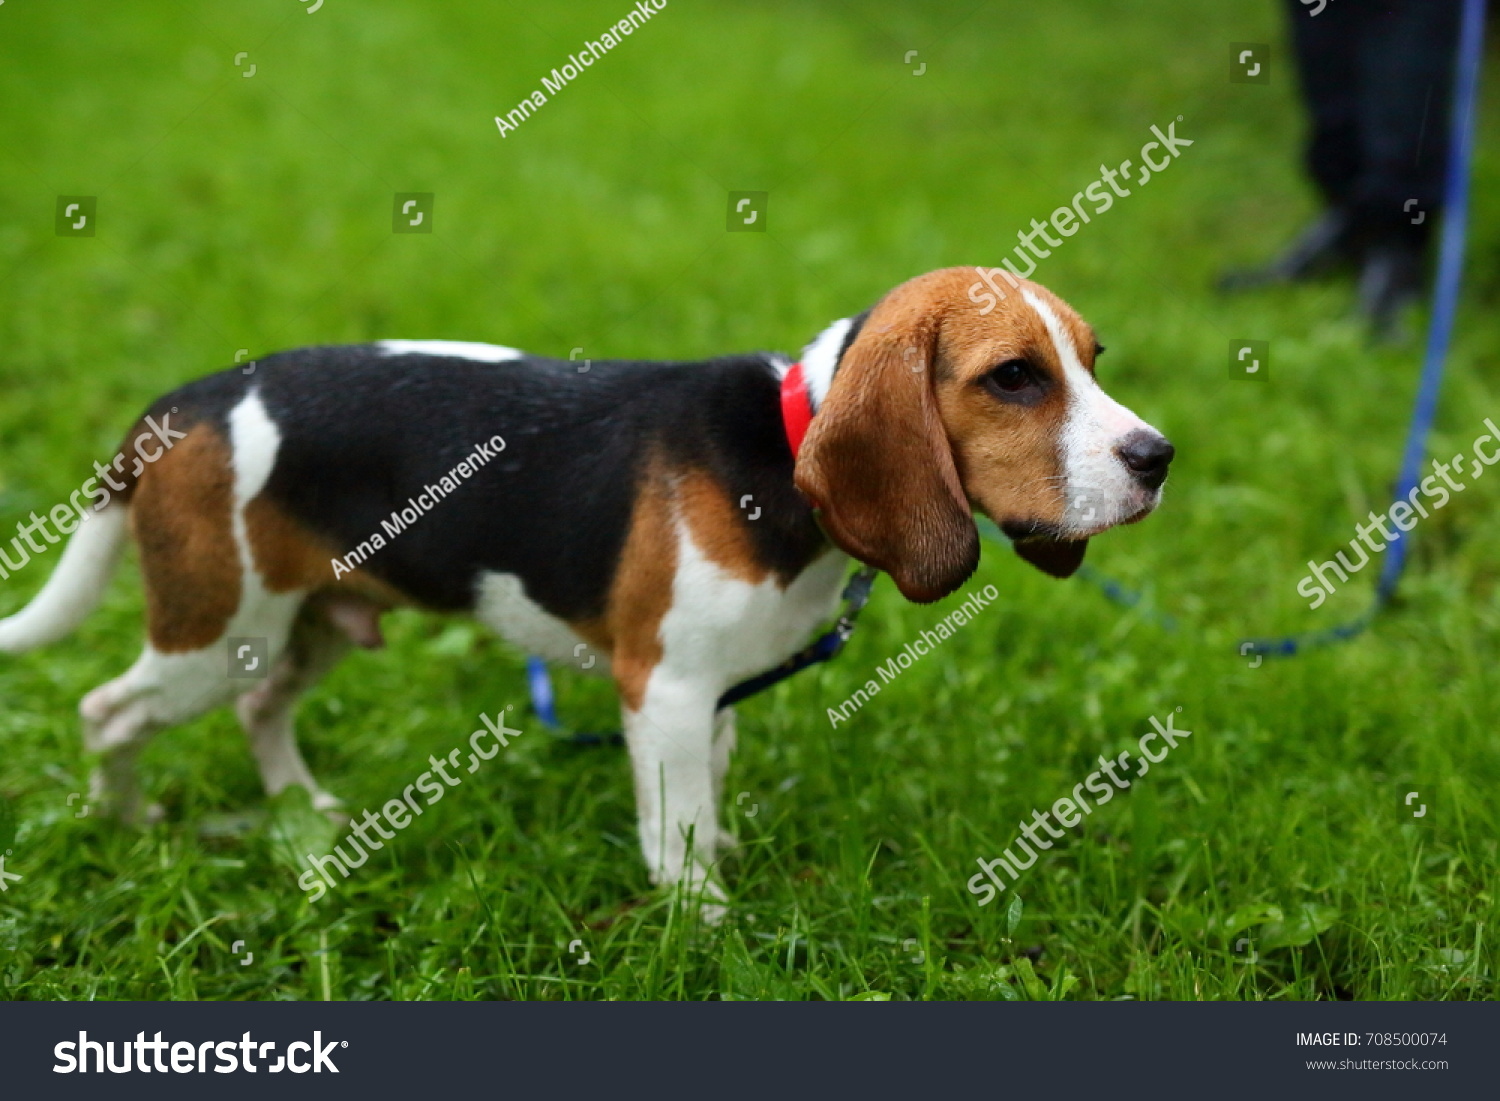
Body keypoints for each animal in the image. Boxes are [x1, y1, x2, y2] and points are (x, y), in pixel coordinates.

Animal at [0, 267, 1170, 906]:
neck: (784, 442)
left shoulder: (707, 699)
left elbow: (703, 795)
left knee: (259, 708)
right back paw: (129, 824)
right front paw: (708, 926)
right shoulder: (666, 690)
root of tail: (179, 405)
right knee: (108, 710)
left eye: (1094, 356)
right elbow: (679, 829)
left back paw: (297, 807)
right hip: (212, 632)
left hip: (313, 620)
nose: (1160, 457)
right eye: (1012, 377)